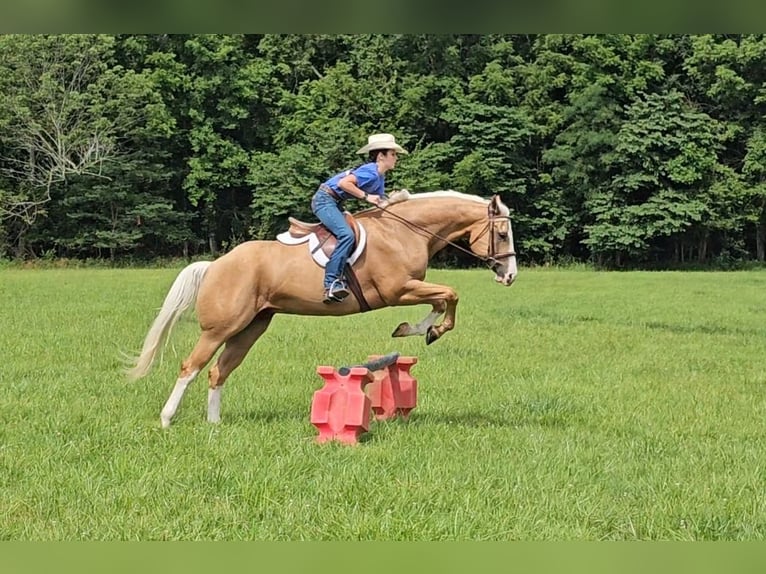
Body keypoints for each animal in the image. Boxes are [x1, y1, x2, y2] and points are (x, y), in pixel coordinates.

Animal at [129, 191, 520, 430]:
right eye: (502, 235)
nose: (510, 276)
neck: (404, 232)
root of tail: (215, 264)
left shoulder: (409, 289)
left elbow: (442, 299)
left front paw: (419, 330)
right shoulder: (397, 290)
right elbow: (450, 295)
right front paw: (425, 330)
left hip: (251, 327)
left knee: (218, 371)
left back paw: (214, 424)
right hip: (220, 328)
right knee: (191, 367)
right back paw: (167, 419)